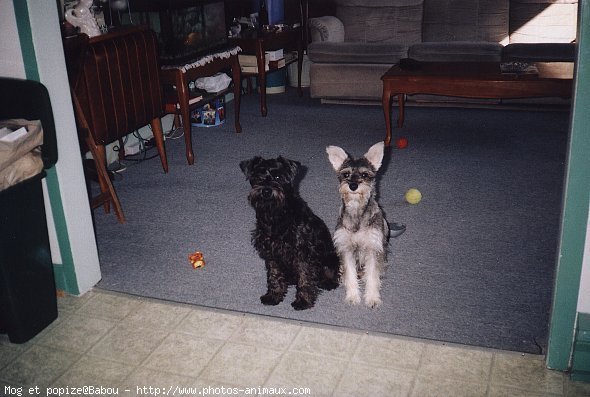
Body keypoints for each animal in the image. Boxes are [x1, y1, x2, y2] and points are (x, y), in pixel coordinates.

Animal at [240, 155, 342, 310]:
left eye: (278, 176)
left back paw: (327, 283)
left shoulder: (303, 253)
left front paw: (303, 301)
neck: (276, 215)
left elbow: (305, 278)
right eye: (258, 177)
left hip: (330, 258)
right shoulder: (271, 254)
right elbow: (274, 276)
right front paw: (274, 296)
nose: (266, 191)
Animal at [326, 141, 390, 308]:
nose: (353, 186)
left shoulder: (373, 248)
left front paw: (372, 298)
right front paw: (353, 296)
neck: (356, 210)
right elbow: (350, 274)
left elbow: (372, 274)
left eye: (364, 175)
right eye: (346, 174)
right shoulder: (346, 248)